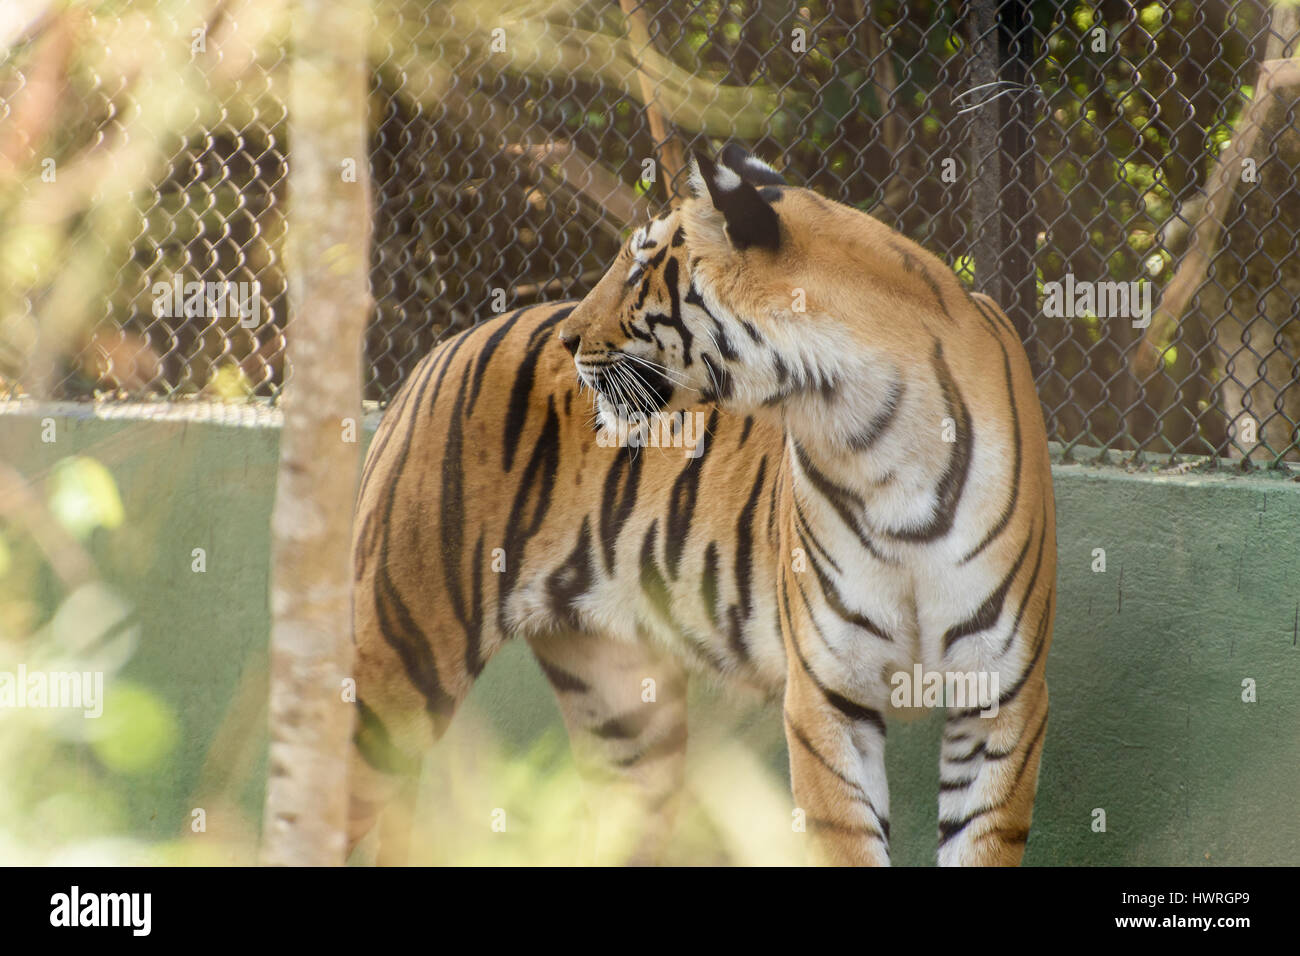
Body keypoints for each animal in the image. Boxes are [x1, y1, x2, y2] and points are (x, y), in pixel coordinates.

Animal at [349, 145, 1057, 866]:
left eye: (640, 267)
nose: (568, 341)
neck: (873, 439)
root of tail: (444, 346)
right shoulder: (827, 699)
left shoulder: (1003, 698)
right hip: (395, 656)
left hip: (623, 712)